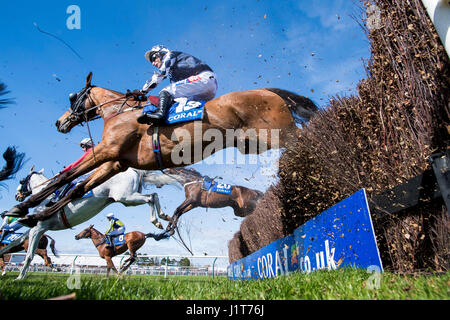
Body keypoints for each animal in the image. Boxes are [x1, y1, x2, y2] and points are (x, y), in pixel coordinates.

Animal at [11, 73, 316, 228]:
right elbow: (77, 188)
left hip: (277, 133)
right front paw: (35, 214)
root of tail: (269, 92)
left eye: (74, 97)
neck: (120, 112)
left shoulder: (105, 152)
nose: (59, 122)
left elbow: (66, 179)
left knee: (305, 136)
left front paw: (24, 209)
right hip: (254, 143)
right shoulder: (115, 162)